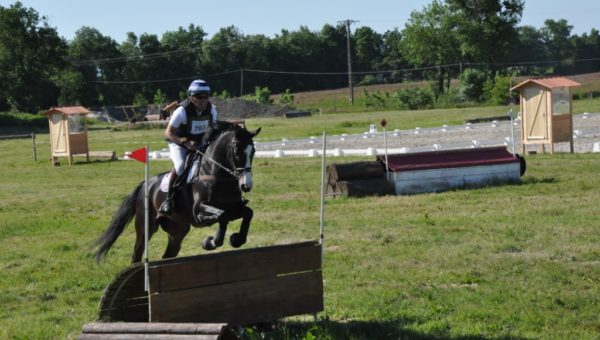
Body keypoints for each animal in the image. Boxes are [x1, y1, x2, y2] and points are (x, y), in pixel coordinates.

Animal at [94, 122, 260, 262]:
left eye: (253, 151)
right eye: (237, 152)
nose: (246, 185)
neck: (219, 175)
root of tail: (145, 185)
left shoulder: (234, 208)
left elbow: (248, 213)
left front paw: (237, 239)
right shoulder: (199, 213)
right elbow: (222, 216)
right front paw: (211, 242)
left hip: (177, 230)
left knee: (167, 255)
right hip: (145, 227)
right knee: (137, 253)